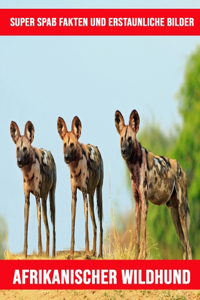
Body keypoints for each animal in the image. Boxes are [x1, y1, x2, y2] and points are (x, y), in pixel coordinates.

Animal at [10, 120, 56, 256]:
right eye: (18, 149)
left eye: (25, 149)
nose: (19, 161)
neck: (28, 173)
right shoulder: (27, 199)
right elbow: (26, 225)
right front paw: (25, 253)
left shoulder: (36, 197)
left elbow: (38, 226)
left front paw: (40, 251)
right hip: (44, 200)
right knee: (47, 229)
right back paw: (47, 254)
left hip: (50, 199)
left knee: (52, 228)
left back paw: (51, 254)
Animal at [56, 115, 103, 258]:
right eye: (65, 145)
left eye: (72, 145)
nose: (66, 157)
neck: (75, 169)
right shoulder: (74, 196)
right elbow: (73, 224)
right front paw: (71, 253)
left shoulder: (83, 195)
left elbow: (86, 226)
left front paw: (86, 253)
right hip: (91, 197)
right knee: (95, 225)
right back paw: (93, 252)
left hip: (98, 196)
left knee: (100, 225)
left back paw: (99, 253)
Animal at [115, 110, 192, 260]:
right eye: (121, 139)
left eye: (130, 139)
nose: (123, 150)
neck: (134, 166)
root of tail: (180, 167)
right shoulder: (137, 203)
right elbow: (137, 238)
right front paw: (136, 257)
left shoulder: (145, 203)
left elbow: (144, 236)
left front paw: (143, 256)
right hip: (174, 214)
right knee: (184, 246)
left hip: (181, 211)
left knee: (189, 246)